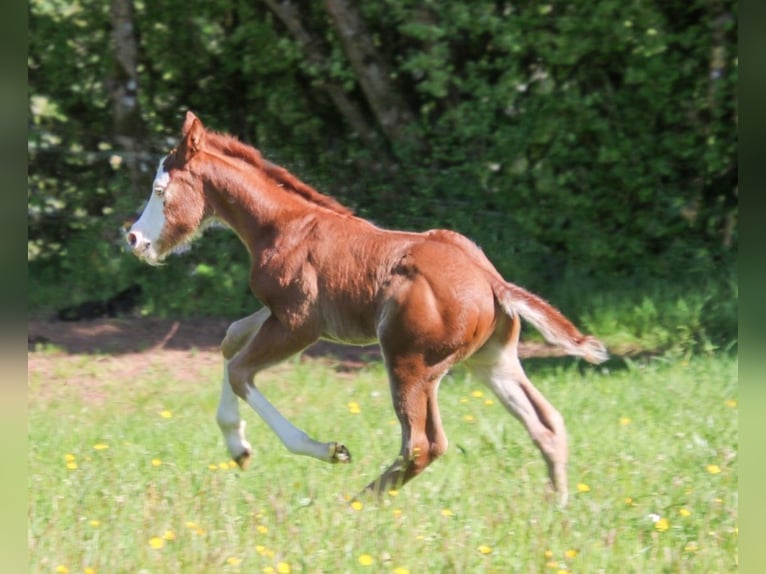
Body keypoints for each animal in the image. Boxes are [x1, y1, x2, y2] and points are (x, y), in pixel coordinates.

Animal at [127, 111, 608, 505]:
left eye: (160, 190)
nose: (134, 239)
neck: (285, 226)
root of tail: (493, 282)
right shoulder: (278, 313)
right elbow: (230, 340)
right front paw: (239, 448)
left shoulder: (300, 325)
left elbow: (241, 371)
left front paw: (327, 450)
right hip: (491, 360)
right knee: (546, 422)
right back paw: (558, 504)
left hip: (410, 363)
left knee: (423, 444)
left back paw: (355, 503)